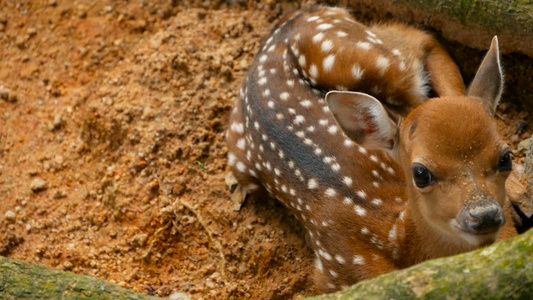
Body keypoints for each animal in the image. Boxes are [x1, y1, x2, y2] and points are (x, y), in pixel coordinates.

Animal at [224, 5, 516, 292]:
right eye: (421, 174)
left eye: (506, 158)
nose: (484, 216)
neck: (395, 234)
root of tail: (292, 17)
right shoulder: (338, 269)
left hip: (357, 57)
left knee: (416, 39)